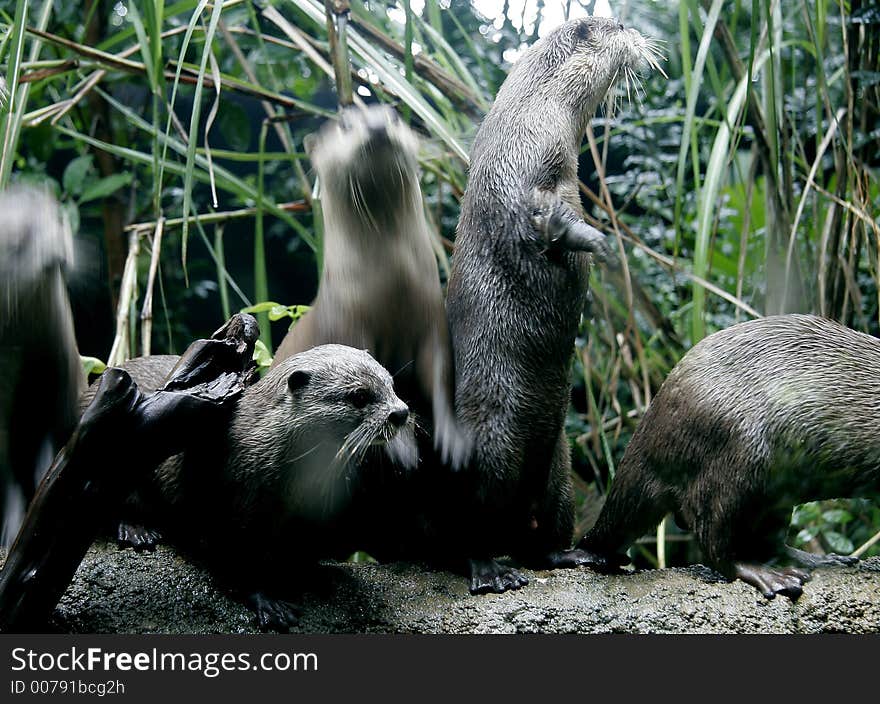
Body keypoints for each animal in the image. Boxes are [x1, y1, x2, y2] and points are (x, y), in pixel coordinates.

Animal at [274, 104, 468, 468]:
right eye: (346, 124)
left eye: (393, 116)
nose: (377, 126)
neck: (392, 289)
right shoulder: (348, 326)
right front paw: (401, 448)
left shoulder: (433, 320)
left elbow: (439, 376)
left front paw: (453, 440)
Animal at [446, 16, 660, 592]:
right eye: (618, 25)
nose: (640, 33)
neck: (537, 115)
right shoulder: (519, 172)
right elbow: (535, 219)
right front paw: (596, 243)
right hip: (492, 441)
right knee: (477, 523)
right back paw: (488, 570)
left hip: (560, 464)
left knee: (542, 532)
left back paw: (573, 556)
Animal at [576, 314, 872, 600]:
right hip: (739, 460)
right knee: (714, 539)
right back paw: (770, 576)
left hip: (775, 491)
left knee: (766, 540)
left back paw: (821, 559)